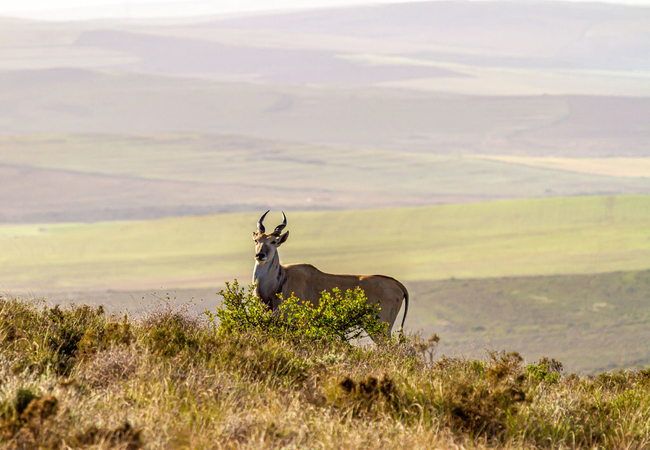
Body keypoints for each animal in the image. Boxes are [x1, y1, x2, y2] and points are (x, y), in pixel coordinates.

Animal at [252, 212, 408, 338]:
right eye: (257, 240)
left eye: (273, 241)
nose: (260, 255)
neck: (281, 280)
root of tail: (398, 284)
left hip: (379, 328)